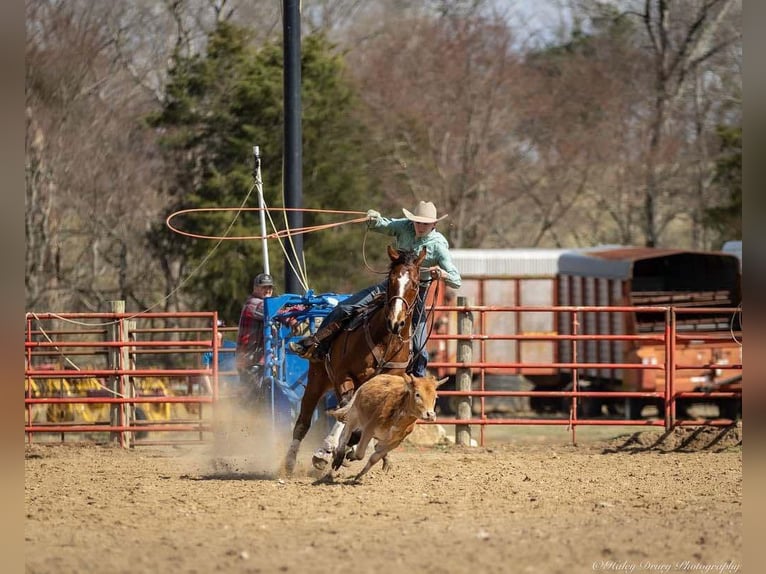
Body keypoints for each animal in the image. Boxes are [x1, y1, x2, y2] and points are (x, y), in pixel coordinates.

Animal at [282, 245, 426, 474]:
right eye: (391, 280)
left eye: (414, 283)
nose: (395, 321)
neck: (384, 342)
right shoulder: (344, 376)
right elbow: (345, 410)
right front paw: (328, 451)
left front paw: (349, 447)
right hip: (317, 379)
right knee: (303, 422)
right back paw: (294, 461)